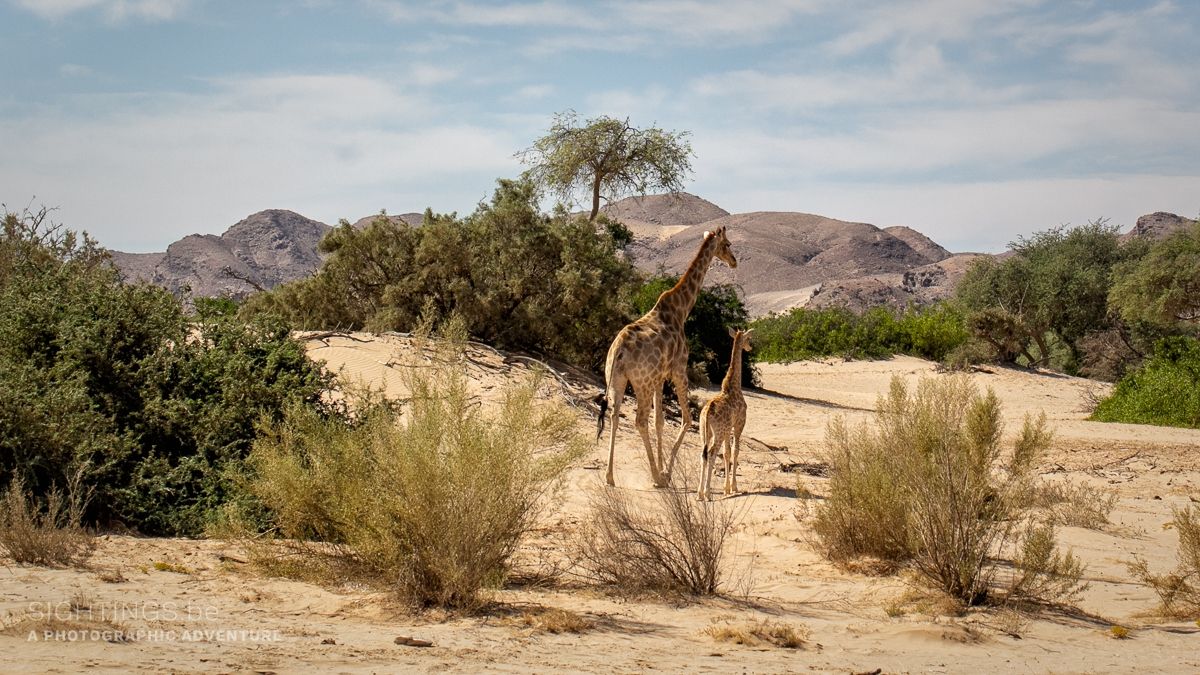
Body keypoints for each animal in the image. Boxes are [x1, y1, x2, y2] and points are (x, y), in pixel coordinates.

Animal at [596, 226, 737, 488]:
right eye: (728, 244)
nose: (734, 261)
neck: (682, 310)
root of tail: (619, 350)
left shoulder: (660, 377)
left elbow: (660, 421)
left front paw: (663, 467)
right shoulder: (678, 370)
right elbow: (686, 419)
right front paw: (666, 472)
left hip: (617, 380)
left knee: (614, 415)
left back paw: (610, 476)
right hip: (641, 383)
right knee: (639, 420)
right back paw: (655, 476)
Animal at [698, 327, 753, 501]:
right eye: (748, 339)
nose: (750, 348)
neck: (734, 386)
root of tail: (707, 411)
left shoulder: (728, 429)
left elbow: (727, 453)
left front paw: (726, 488)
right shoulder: (739, 425)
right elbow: (735, 452)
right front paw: (733, 487)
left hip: (705, 432)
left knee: (703, 454)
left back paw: (699, 493)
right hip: (719, 432)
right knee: (711, 453)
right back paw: (707, 493)